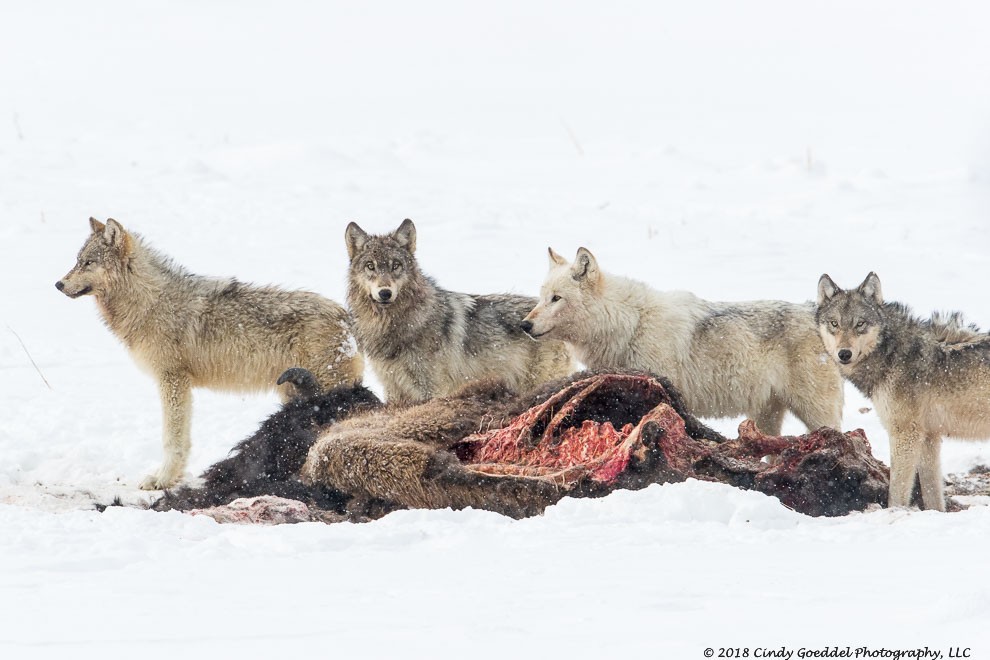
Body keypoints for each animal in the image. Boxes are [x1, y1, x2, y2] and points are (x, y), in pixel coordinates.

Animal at [55, 218, 364, 490]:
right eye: (77, 260)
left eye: (88, 263)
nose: (58, 284)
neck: (149, 303)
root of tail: (345, 316)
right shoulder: (181, 385)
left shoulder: (172, 380)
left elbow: (172, 438)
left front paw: (162, 480)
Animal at [520, 246, 844, 434]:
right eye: (541, 297)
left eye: (556, 298)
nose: (524, 324)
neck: (631, 324)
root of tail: (814, 311)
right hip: (766, 417)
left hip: (817, 415)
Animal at [816, 272, 990, 510]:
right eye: (834, 324)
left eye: (860, 324)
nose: (844, 354)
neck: (891, 354)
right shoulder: (929, 437)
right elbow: (932, 495)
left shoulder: (905, 433)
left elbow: (896, 494)